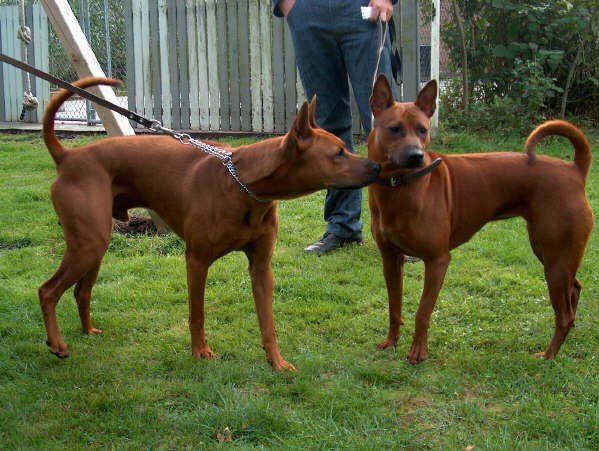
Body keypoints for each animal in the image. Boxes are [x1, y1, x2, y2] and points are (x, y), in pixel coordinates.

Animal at [39, 77, 382, 370]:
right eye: (338, 153)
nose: (377, 166)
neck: (244, 184)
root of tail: (67, 156)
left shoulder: (261, 267)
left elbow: (267, 322)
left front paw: (276, 361)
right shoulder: (197, 260)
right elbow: (197, 313)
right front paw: (200, 351)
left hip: (96, 244)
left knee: (81, 292)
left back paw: (88, 330)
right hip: (88, 244)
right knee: (47, 291)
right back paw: (57, 343)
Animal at [368, 74, 592, 364]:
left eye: (423, 130)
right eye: (394, 129)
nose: (417, 156)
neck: (398, 187)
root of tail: (575, 170)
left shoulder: (437, 260)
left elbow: (422, 312)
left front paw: (418, 351)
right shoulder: (390, 258)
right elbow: (394, 305)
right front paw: (392, 341)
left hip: (555, 261)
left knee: (563, 314)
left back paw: (548, 355)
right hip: (552, 254)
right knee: (574, 290)